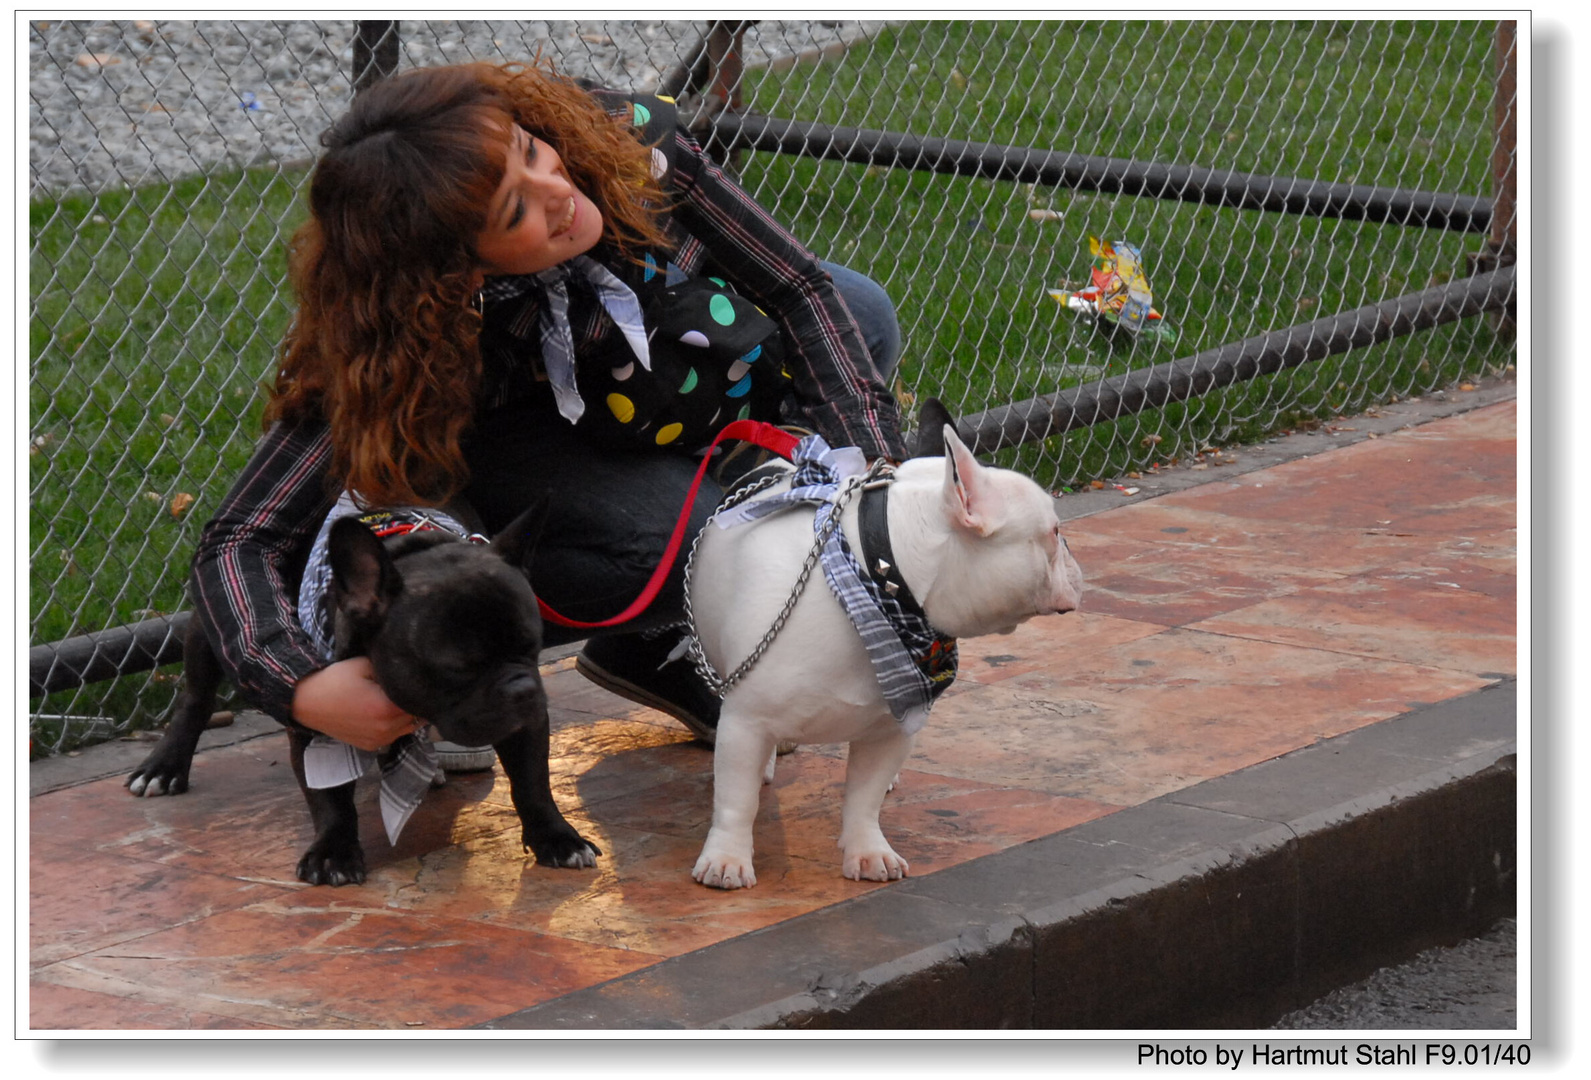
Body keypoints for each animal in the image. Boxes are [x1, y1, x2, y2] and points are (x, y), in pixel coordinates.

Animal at [127, 505, 598, 884]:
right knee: (195, 699)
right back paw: (163, 767)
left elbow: (532, 781)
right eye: (458, 668)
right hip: (213, 626)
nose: (523, 687)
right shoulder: (319, 714)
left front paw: (557, 838)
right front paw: (333, 853)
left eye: (532, 646)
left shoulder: (526, 723)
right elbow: (330, 797)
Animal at [690, 405, 1088, 884]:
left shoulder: (891, 728)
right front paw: (726, 858)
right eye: (1054, 531)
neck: (874, 583)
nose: (1072, 550)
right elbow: (737, 798)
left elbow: (865, 796)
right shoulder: (746, 720)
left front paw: (868, 851)